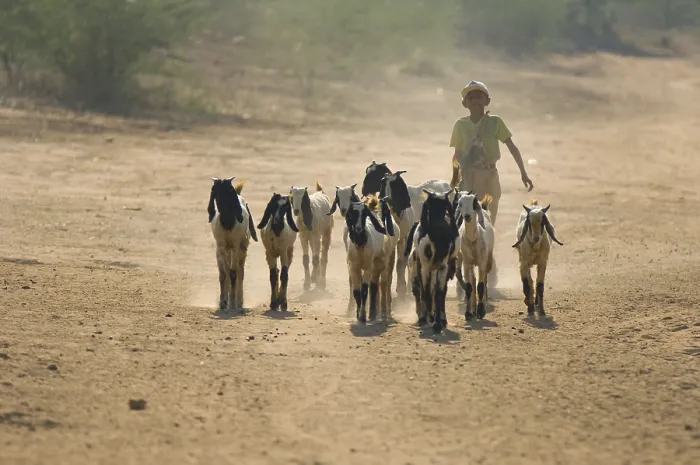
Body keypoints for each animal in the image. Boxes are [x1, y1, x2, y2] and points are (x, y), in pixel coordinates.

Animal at [208, 177, 258, 311]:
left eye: (230, 189)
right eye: (215, 189)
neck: (228, 222)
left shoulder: (236, 247)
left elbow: (233, 273)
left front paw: (232, 302)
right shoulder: (221, 247)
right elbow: (224, 273)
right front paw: (223, 302)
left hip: (241, 250)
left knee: (240, 271)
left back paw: (239, 301)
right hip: (226, 250)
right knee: (227, 270)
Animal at [404, 189, 460, 333]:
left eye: (445, 207)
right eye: (430, 206)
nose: (440, 227)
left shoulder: (443, 267)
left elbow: (438, 293)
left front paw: (437, 323)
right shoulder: (425, 267)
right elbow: (426, 291)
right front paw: (426, 317)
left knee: (438, 291)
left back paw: (439, 317)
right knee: (421, 290)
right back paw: (424, 315)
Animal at [455, 191, 495, 320]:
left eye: (473, 203)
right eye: (460, 203)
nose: (467, 216)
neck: (473, 240)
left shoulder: (482, 262)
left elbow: (481, 286)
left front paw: (481, 311)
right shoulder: (467, 262)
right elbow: (469, 287)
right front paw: (468, 313)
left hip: (488, 259)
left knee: (485, 279)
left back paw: (484, 303)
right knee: (473, 281)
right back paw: (473, 308)